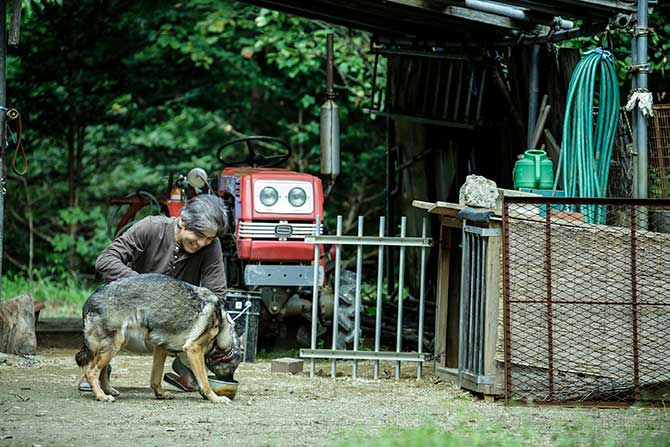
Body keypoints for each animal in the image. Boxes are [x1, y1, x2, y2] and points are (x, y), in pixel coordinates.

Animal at [76, 274, 240, 404]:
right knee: (91, 372)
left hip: (115, 345)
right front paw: (215, 398)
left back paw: (108, 390)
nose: (232, 382)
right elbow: (204, 381)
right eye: (233, 369)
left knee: (102, 370)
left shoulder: (160, 349)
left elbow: (156, 378)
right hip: (114, 345)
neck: (221, 327)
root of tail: (88, 301)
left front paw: (160, 394)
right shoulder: (194, 349)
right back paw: (101, 396)